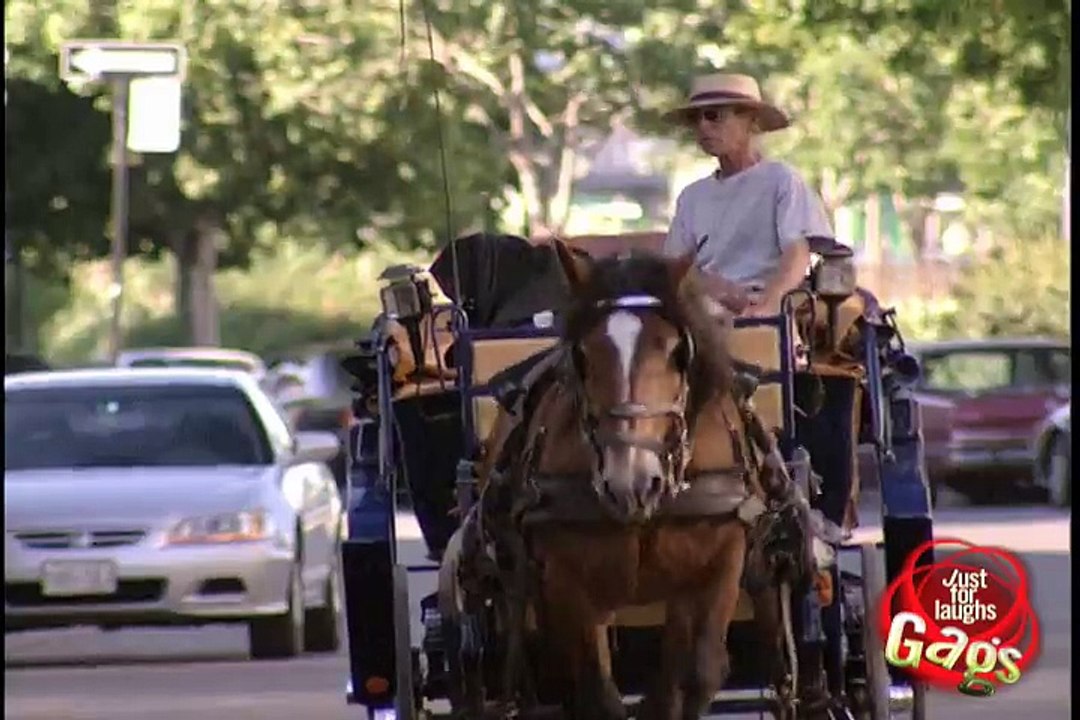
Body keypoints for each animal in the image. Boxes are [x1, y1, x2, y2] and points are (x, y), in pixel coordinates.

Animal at [443, 241, 819, 720]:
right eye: (583, 356)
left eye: (677, 352)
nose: (632, 482)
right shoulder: (570, 586)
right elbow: (596, 691)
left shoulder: (716, 567)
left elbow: (694, 676)